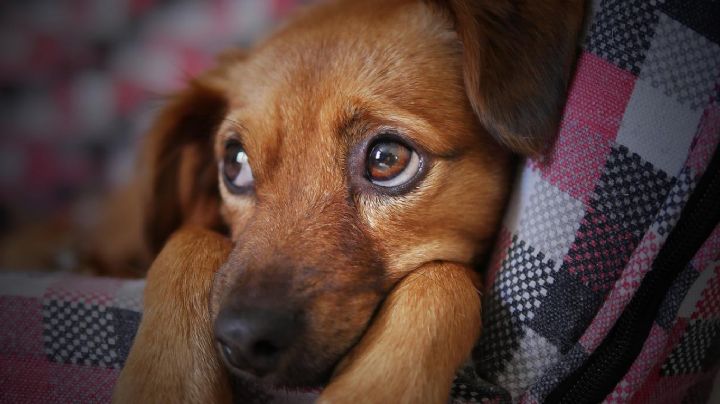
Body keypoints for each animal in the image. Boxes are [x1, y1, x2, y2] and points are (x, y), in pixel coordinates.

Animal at [111, 0, 584, 400]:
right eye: (235, 163)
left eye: (387, 159)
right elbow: (189, 239)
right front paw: (165, 382)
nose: (243, 339)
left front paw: (373, 388)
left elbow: (443, 278)